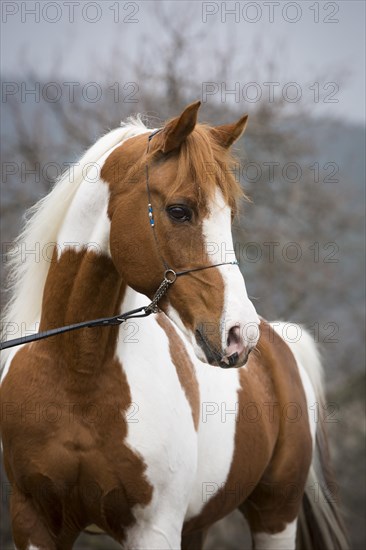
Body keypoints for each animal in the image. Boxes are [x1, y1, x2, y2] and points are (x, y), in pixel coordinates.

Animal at [0, 101, 348, 548]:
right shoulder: (33, 520)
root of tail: (279, 343)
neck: (77, 375)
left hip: (276, 516)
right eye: (179, 211)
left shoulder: (154, 529)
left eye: (230, 215)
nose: (240, 334)